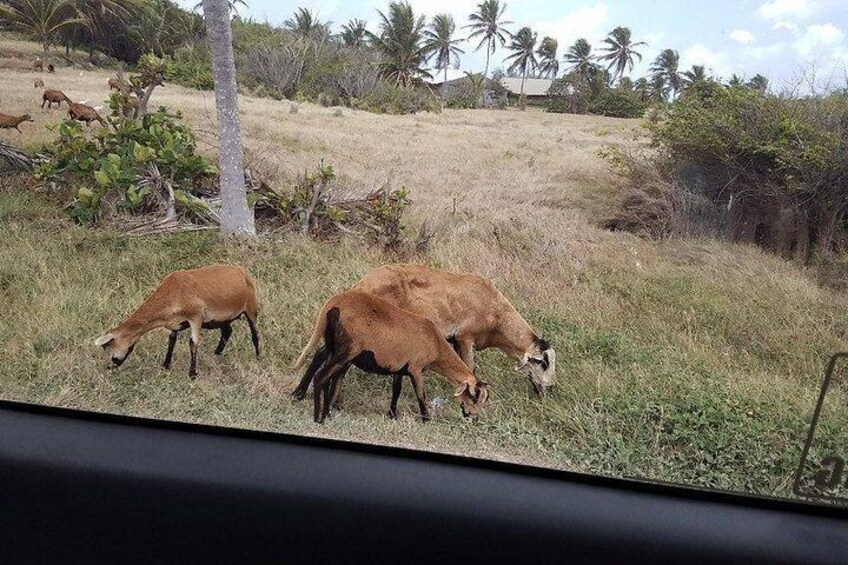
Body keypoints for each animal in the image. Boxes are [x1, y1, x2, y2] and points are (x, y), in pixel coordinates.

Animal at [94, 264, 260, 378]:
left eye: (109, 347)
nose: (110, 367)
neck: (172, 293)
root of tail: (241, 271)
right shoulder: (176, 323)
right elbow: (171, 340)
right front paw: (166, 365)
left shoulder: (197, 315)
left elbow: (193, 342)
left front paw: (192, 373)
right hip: (222, 318)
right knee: (227, 331)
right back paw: (216, 354)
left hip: (251, 307)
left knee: (255, 334)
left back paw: (258, 357)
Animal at [294, 290, 490, 424]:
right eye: (473, 397)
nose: (474, 418)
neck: (435, 344)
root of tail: (334, 303)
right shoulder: (416, 368)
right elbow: (421, 394)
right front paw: (426, 419)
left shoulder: (399, 368)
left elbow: (396, 390)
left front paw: (393, 414)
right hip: (346, 351)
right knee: (321, 377)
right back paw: (319, 417)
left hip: (334, 348)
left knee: (326, 376)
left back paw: (325, 411)